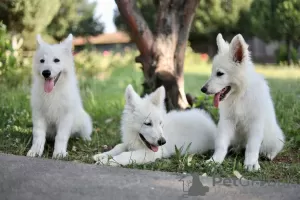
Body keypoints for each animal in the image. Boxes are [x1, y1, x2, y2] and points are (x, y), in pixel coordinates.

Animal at [200, 33, 284, 171]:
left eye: (220, 73)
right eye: (212, 73)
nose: (203, 89)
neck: (239, 95)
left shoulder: (255, 124)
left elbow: (252, 147)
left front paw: (251, 163)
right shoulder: (226, 122)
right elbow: (221, 144)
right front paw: (215, 160)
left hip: (273, 137)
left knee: (275, 146)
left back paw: (269, 154)